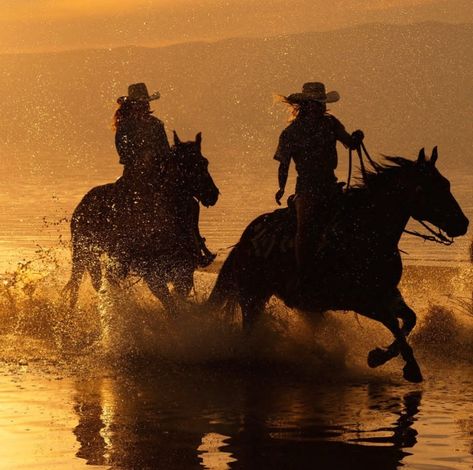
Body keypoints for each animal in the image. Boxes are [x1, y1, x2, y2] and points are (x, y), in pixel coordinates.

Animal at [65, 131, 218, 312]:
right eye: (185, 164)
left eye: (205, 162)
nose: (213, 194)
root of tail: (83, 202)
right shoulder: (152, 275)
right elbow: (169, 303)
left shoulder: (184, 271)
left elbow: (177, 299)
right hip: (84, 253)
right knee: (82, 283)